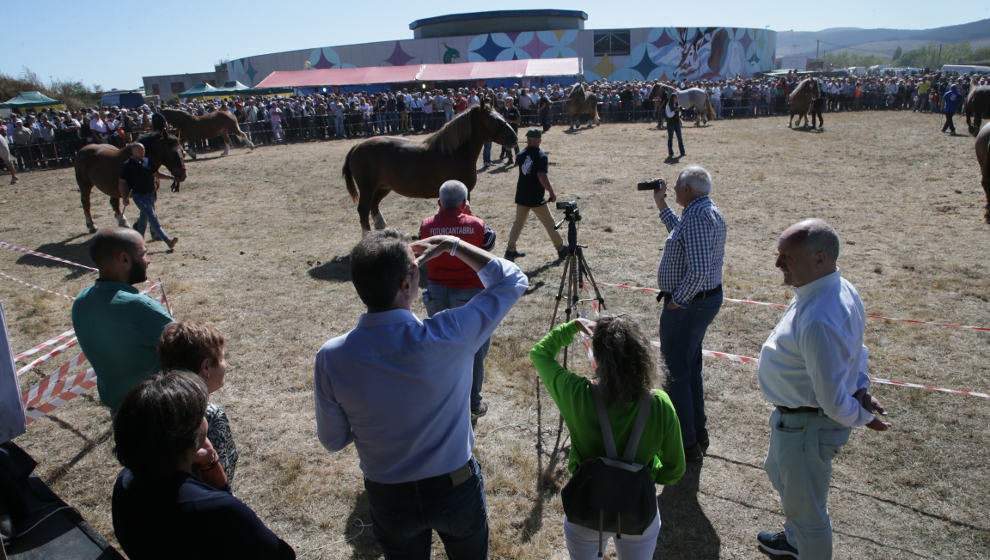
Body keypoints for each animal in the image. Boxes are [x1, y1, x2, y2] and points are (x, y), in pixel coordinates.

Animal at [342, 104, 520, 233]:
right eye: (493, 119)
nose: (514, 138)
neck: (454, 153)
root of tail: (357, 146)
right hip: (368, 188)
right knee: (364, 210)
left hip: (383, 187)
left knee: (374, 206)